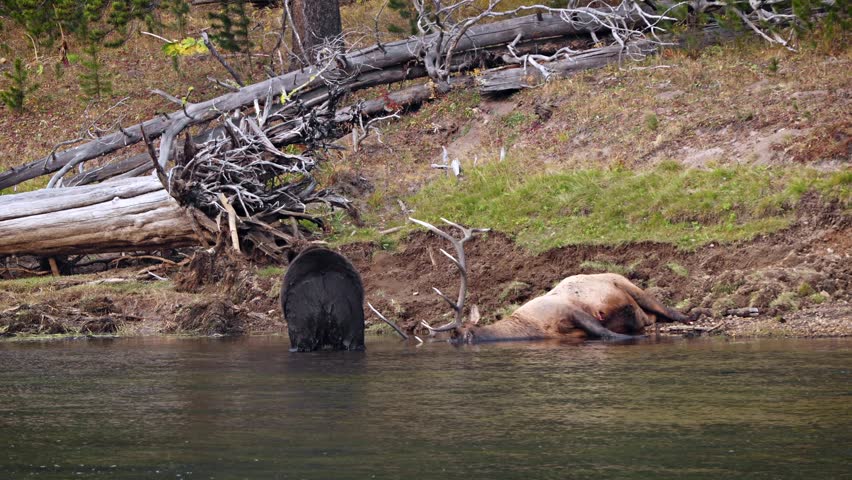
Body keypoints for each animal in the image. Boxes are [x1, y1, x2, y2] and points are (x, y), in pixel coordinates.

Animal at [370, 218, 699, 344]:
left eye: (462, 338)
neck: (531, 328)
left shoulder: (570, 310)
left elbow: (606, 334)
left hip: (627, 283)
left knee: (667, 308)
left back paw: (694, 314)